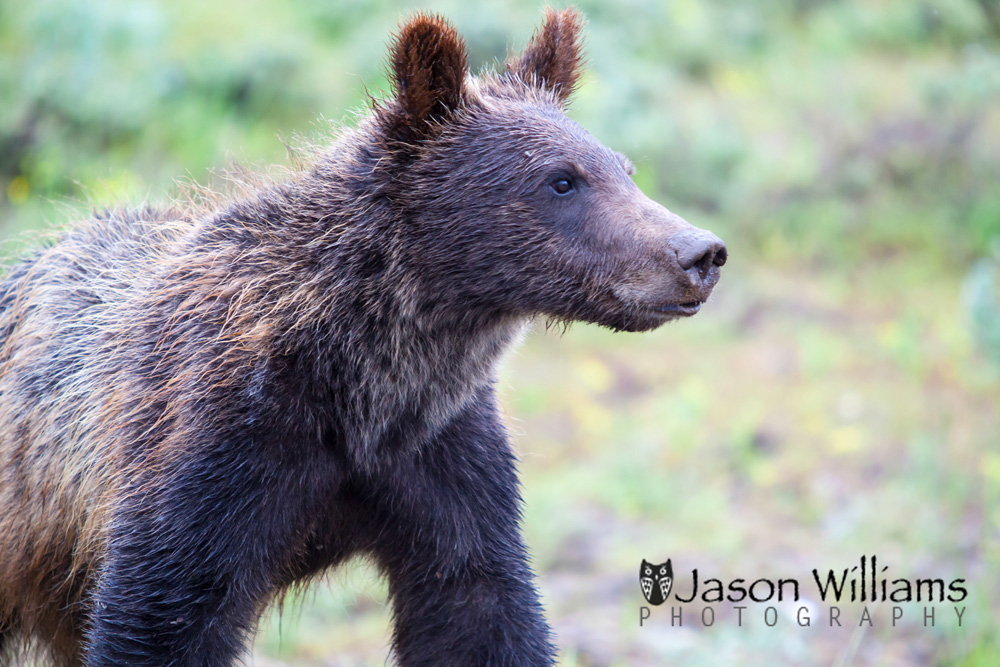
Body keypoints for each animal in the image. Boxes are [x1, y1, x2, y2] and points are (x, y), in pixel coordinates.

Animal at [0, 6, 724, 667]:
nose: (700, 253)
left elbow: (479, 607)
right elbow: (163, 614)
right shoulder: (210, 446)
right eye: (562, 179)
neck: (362, 379)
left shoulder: (439, 454)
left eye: (624, 167)